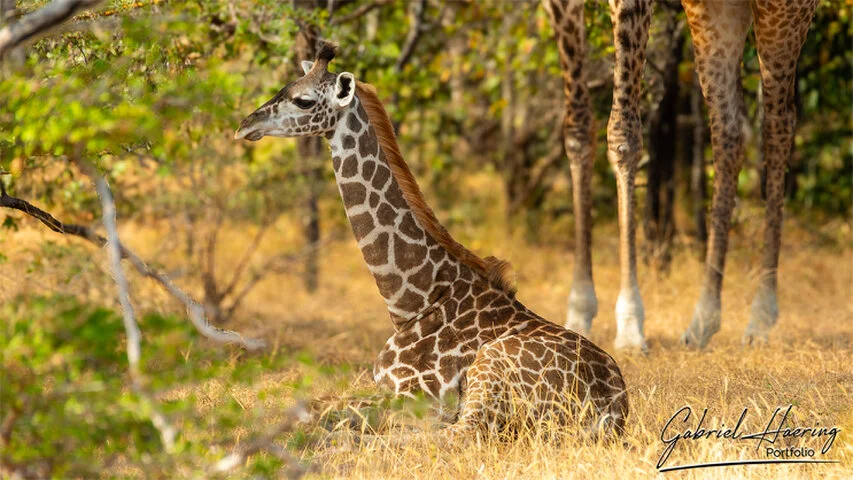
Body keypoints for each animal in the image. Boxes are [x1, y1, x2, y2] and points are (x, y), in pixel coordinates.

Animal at [235, 43, 628, 437]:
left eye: (303, 100)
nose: (244, 126)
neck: (413, 301)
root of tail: (614, 409)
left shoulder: (414, 394)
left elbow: (323, 411)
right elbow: (315, 405)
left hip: (490, 372)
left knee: (453, 434)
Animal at [543, 0, 818, 350]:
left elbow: (623, 134)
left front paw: (630, 325)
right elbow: (577, 128)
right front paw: (579, 311)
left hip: (784, 12)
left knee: (778, 122)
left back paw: (760, 318)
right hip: (716, 14)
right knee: (729, 131)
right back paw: (703, 319)